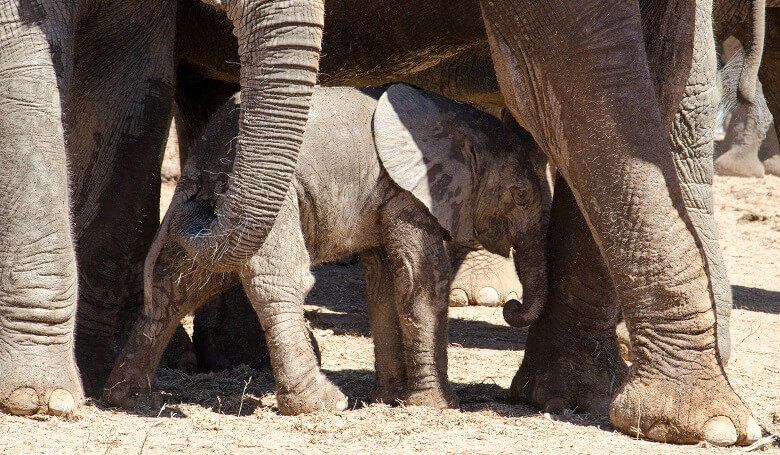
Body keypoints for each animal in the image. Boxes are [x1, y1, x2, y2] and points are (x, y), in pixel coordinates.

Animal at [105, 83, 548, 416]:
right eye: (521, 196)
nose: (511, 307)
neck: (458, 120)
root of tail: (202, 154)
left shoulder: (382, 198)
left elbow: (385, 288)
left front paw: (387, 400)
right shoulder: (406, 193)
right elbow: (420, 283)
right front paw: (435, 406)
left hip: (220, 208)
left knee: (181, 284)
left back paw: (133, 399)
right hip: (272, 196)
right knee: (277, 280)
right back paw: (323, 404)